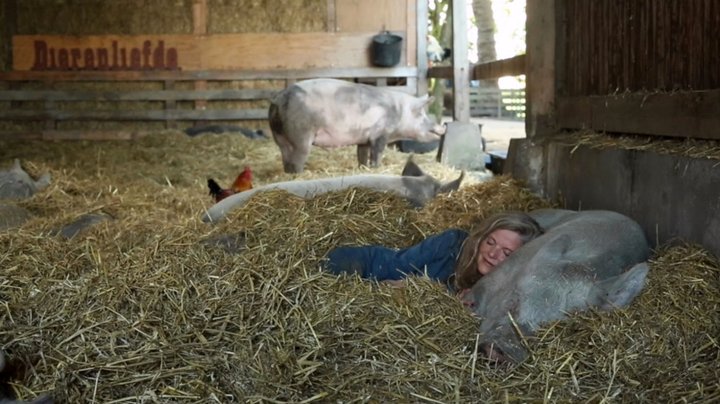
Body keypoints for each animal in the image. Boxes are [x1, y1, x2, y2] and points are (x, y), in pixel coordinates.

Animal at [268, 78, 444, 173]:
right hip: (302, 135)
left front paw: (363, 168)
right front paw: (376, 168)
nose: (443, 128)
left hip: (279, 137)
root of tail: (278, 100)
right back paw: (299, 174)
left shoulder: (364, 138)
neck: (399, 112)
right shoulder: (380, 134)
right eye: (422, 114)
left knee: (285, 156)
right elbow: (377, 153)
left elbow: (362, 155)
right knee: (298, 157)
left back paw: (288, 173)